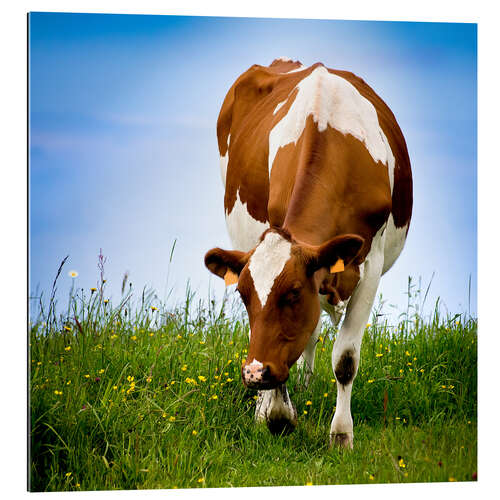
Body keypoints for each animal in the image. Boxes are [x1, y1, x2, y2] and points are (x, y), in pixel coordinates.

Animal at [205, 58, 412, 450]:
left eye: (293, 293)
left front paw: (341, 435)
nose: (254, 373)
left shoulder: (371, 264)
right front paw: (275, 414)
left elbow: (345, 359)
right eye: (243, 295)